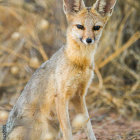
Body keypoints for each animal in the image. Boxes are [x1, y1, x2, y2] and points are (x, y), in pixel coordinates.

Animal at [0, 0, 117, 140]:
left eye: (96, 27)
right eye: (80, 26)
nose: (89, 40)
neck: (79, 62)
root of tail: (6, 130)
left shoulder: (79, 95)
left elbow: (88, 125)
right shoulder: (61, 96)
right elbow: (68, 129)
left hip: (52, 129)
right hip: (43, 127)